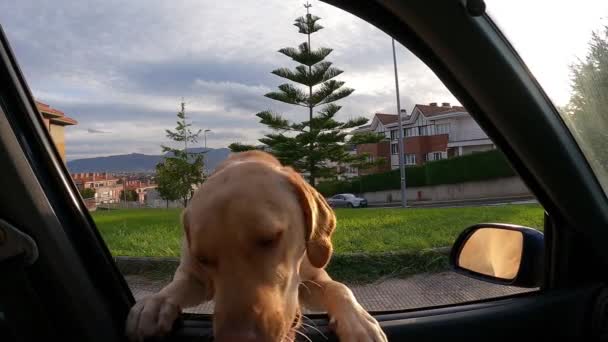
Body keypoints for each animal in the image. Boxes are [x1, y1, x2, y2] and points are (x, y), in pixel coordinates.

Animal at [126, 151, 388, 342]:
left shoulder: (314, 276)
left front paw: (358, 322)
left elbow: (338, 288)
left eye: (270, 238)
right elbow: (175, 286)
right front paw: (155, 303)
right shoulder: (193, 273)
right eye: (203, 258)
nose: (238, 339)